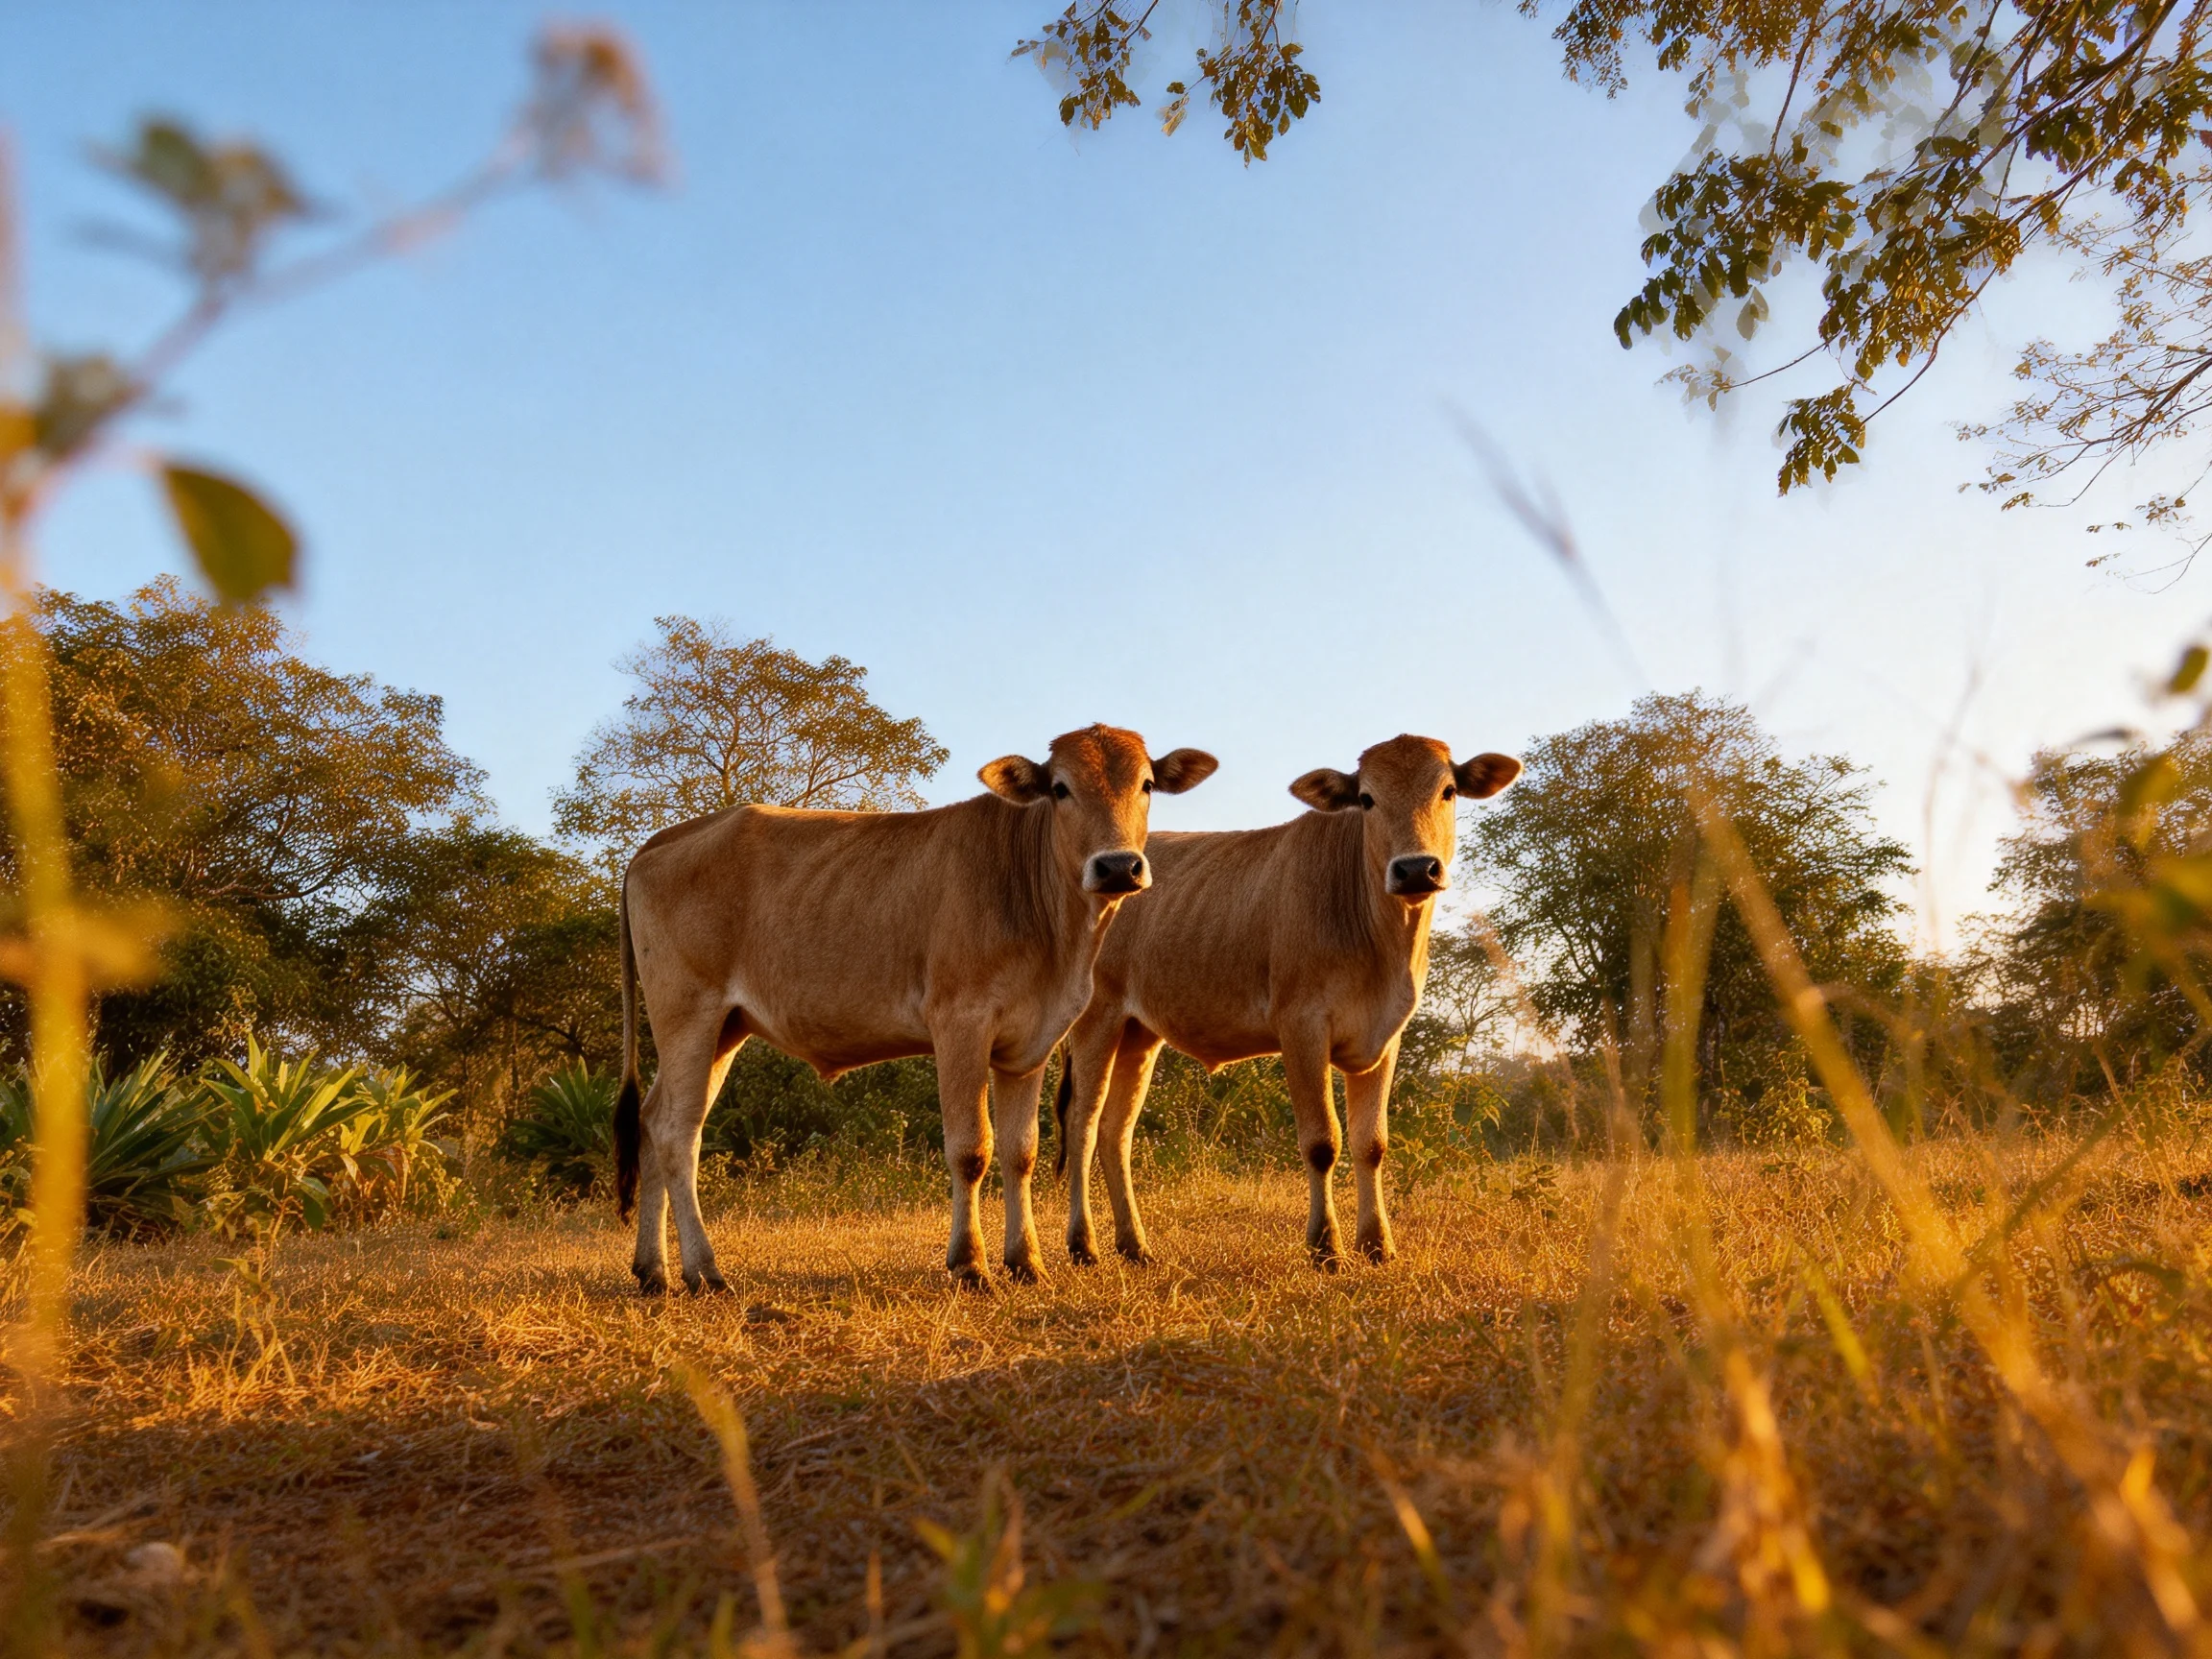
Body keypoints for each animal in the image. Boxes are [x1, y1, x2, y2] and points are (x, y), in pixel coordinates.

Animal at [614, 724, 1217, 1293]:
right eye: (1061, 788)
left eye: (1146, 785)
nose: (1117, 867)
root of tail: (661, 840)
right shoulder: (960, 1023)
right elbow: (971, 1148)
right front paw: (970, 1263)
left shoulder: (1029, 1044)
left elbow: (1021, 1151)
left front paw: (1026, 1261)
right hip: (689, 1015)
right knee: (678, 1134)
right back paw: (704, 1270)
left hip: (722, 1029)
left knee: (651, 1120)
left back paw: (653, 1270)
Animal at [1054, 734, 1520, 1269]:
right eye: (1367, 799)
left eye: (1448, 791)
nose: (1415, 869)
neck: (1382, 943)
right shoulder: (1302, 1027)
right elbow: (1323, 1141)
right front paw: (1326, 1247)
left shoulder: (1385, 1036)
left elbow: (1371, 1142)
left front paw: (1377, 1244)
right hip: (1096, 1017)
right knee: (1082, 1125)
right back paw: (1083, 1244)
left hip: (1138, 1033)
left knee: (1117, 1131)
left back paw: (1135, 1246)